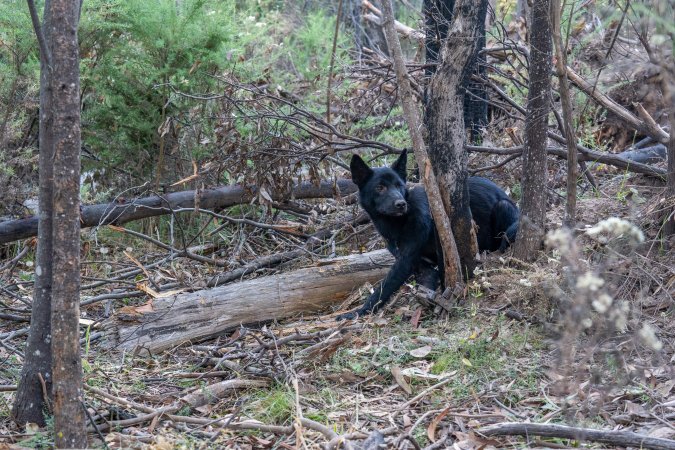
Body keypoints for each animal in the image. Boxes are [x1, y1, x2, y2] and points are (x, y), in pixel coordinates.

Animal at [340, 151, 520, 320]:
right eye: (379, 187)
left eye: (399, 185)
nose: (401, 204)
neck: (399, 223)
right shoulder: (417, 264)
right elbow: (427, 281)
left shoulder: (418, 256)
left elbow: (384, 288)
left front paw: (357, 312)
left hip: (503, 208)